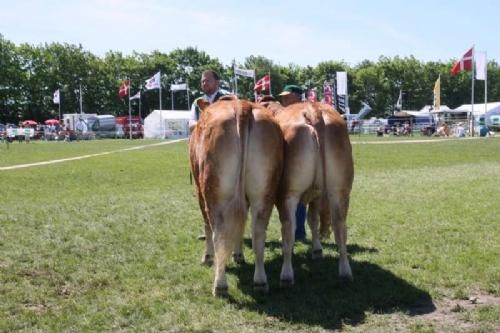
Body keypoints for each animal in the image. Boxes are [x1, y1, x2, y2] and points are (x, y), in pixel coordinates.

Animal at [189, 96, 284, 296]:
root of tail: (242, 106)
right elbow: (240, 226)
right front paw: (238, 255)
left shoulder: (199, 192)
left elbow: (208, 226)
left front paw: (207, 257)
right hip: (264, 192)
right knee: (257, 234)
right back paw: (260, 282)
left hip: (214, 193)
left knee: (219, 234)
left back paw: (220, 285)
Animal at [270, 100, 356, 286]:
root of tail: (312, 109)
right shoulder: (316, 194)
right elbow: (313, 220)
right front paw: (317, 250)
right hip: (339, 190)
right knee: (340, 227)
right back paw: (345, 273)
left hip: (288, 193)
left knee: (288, 227)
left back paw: (286, 275)